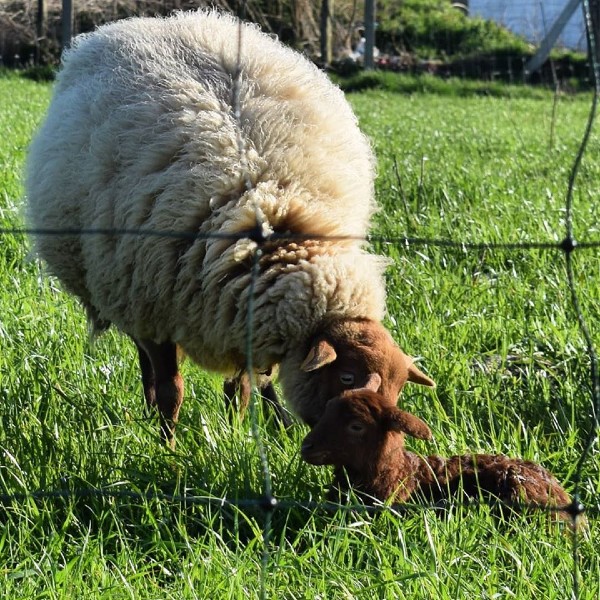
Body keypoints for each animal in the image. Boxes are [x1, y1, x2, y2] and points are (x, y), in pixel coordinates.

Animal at [25, 7, 434, 442]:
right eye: (347, 377)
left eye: (397, 388)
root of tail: (161, 21)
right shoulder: (153, 306)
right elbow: (171, 388)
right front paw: (167, 445)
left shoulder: (241, 316)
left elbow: (242, 386)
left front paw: (236, 434)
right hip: (122, 290)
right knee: (146, 365)